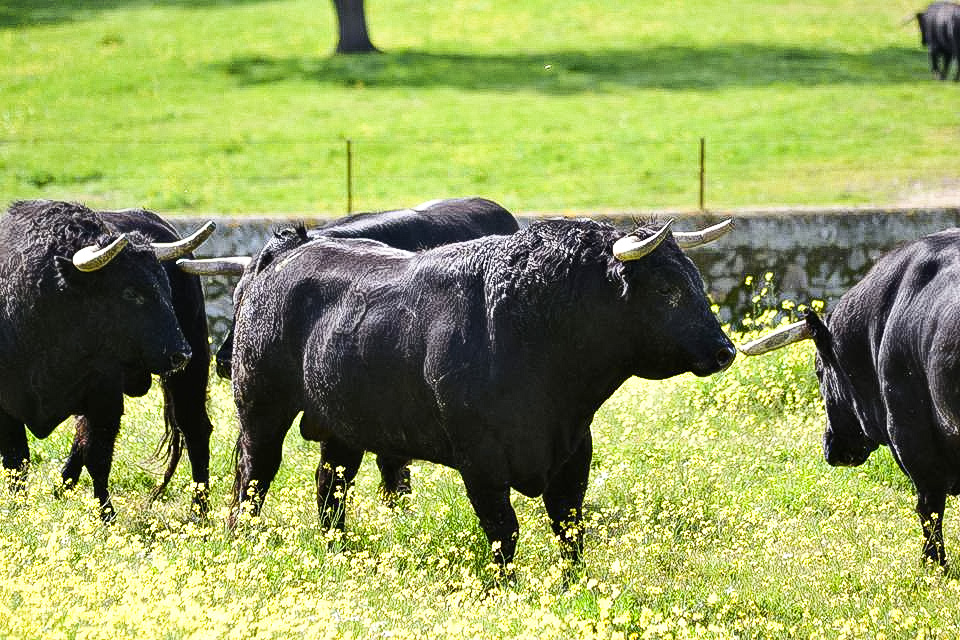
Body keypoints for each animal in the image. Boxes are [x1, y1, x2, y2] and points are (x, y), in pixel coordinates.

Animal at [0, 202, 216, 516]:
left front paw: (107, 515)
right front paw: (19, 510)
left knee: (196, 428)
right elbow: (16, 461)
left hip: (192, 371)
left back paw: (199, 510)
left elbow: (98, 459)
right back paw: (60, 489)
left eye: (167, 288)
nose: (181, 354)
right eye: (130, 292)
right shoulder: (7, 407)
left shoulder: (105, 397)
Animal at [227, 219, 736, 564]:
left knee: (330, 484)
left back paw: (339, 549)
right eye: (667, 289)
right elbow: (503, 530)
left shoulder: (575, 450)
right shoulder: (480, 460)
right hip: (261, 407)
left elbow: (568, 526)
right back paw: (240, 539)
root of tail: (292, 246)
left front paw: (573, 585)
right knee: (254, 474)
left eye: (696, 279)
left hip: (342, 425)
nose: (725, 350)